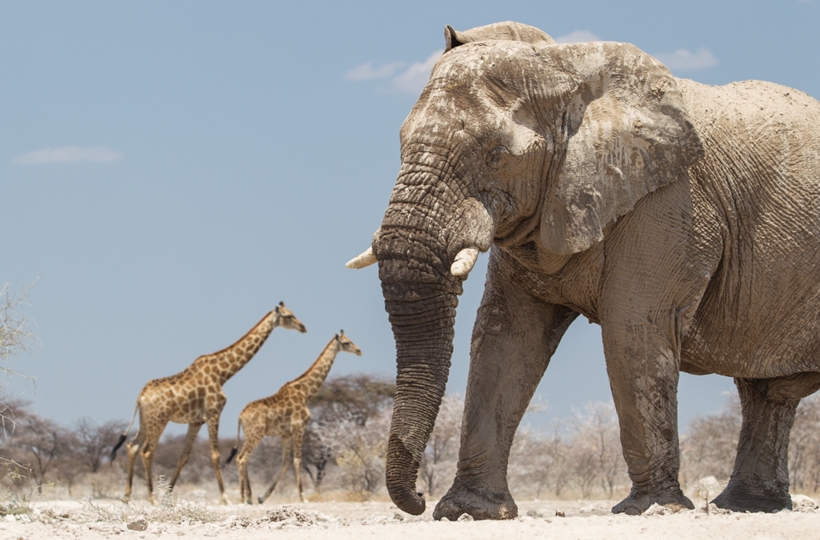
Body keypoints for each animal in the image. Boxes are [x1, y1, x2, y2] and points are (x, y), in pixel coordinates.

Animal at [109, 302, 308, 504]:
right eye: (289, 316)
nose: (303, 328)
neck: (223, 374)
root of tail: (140, 396)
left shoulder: (196, 421)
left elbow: (184, 456)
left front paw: (168, 495)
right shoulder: (214, 413)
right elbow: (215, 454)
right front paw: (225, 498)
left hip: (145, 420)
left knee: (132, 446)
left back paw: (126, 496)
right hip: (159, 420)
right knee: (147, 451)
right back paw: (151, 497)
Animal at [226, 332, 364, 504]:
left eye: (351, 340)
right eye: (346, 343)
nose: (359, 351)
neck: (306, 392)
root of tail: (240, 416)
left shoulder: (285, 434)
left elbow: (285, 463)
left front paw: (262, 497)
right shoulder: (299, 427)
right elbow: (297, 461)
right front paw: (302, 497)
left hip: (252, 434)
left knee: (242, 458)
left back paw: (249, 497)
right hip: (256, 433)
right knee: (242, 458)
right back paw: (244, 497)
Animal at [346, 21, 820, 520]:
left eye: (495, 154)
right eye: (400, 143)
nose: (418, 499)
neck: (565, 70)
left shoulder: (668, 203)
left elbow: (633, 331)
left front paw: (652, 509)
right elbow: (504, 338)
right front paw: (469, 513)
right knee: (765, 392)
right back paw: (747, 508)